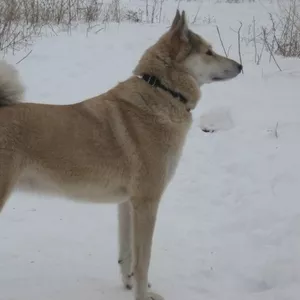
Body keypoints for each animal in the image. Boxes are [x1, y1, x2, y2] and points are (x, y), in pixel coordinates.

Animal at [0, 9, 241, 300]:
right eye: (209, 51)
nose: (240, 66)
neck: (163, 91)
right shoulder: (147, 203)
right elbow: (143, 261)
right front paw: (142, 294)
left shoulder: (127, 203)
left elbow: (127, 255)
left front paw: (128, 284)